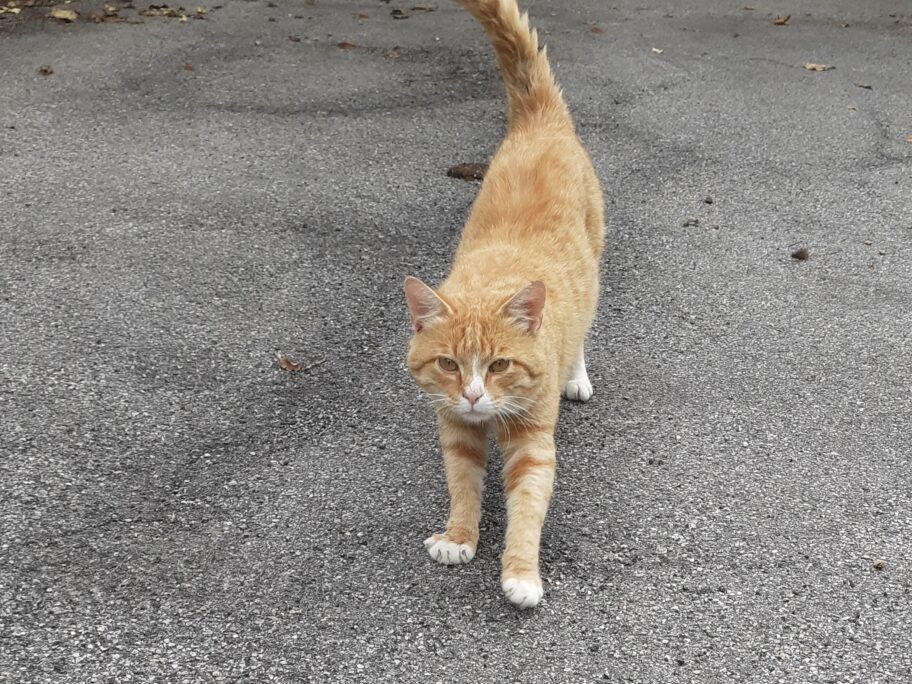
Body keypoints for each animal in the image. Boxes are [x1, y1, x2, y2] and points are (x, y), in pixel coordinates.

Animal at [403, 0, 605, 609]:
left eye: (499, 365)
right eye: (449, 363)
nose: (472, 394)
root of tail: (540, 121)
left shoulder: (533, 444)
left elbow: (528, 510)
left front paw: (521, 575)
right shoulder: (455, 430)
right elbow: (463, 487)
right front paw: (458, 538)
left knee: (583, 331)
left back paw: (577, 375)